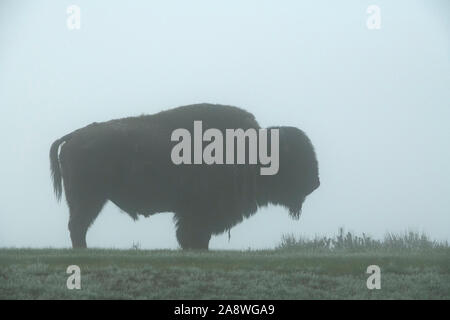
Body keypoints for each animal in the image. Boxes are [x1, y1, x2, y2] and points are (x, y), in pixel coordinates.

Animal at [50, 104, 320, 249]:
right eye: (295, 158)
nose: (315, 183)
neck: (252, 148)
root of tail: (74, 136)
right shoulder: (199, 211)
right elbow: (194, 233)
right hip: (89, 199)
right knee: (78, 225)